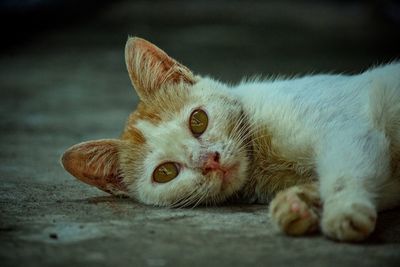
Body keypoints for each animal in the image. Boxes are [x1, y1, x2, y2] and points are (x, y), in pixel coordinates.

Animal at [60, 37, 400, 243]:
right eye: (165, 172)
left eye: (198, 120)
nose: (211, 161)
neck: (262, 161)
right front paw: (297, 204)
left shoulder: (346, 127)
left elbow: (344, 172)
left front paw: (343, 210)